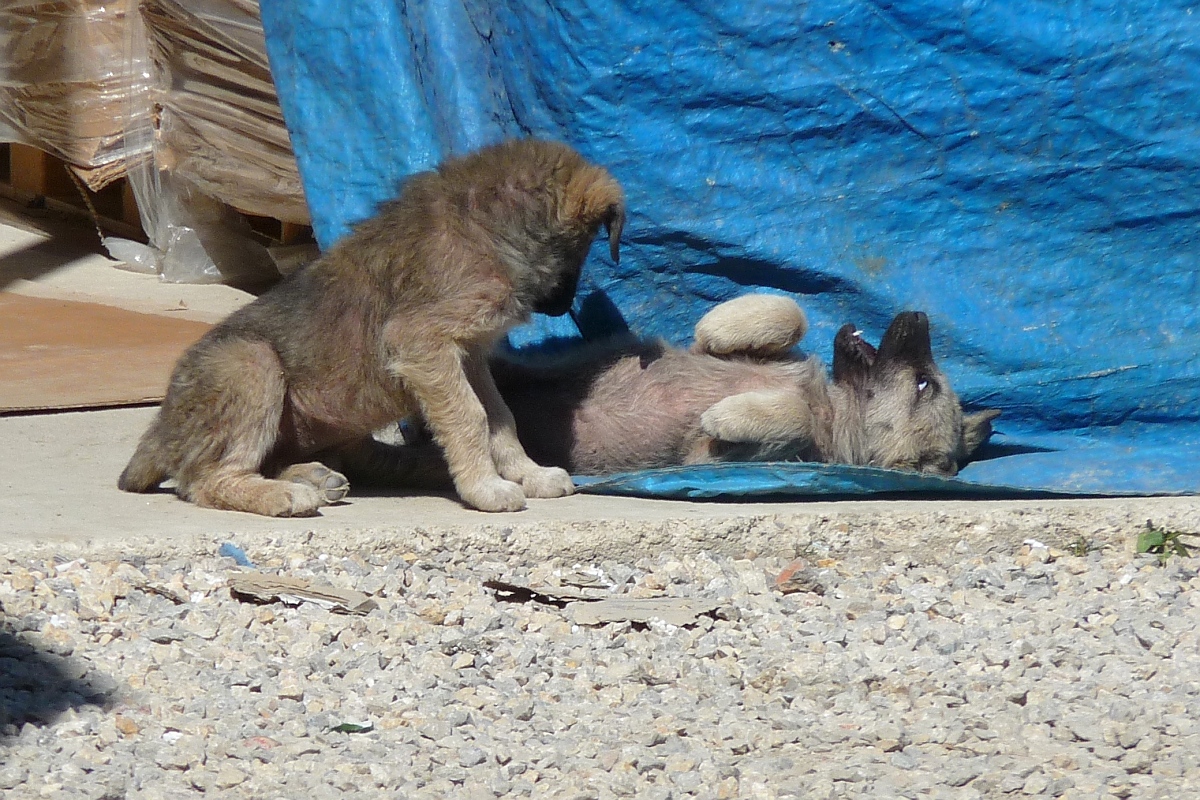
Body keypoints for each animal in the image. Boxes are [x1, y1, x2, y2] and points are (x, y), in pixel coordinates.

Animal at [119, 138, 628, 515]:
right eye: (584, 247)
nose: (561, 308)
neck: (487, 224)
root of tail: (161, 428)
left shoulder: (468, 355)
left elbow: (501, 417)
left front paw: (526, 473)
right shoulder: (422, 341)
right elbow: (471, 416)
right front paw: (487, 487)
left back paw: (318, 475)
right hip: (249, 362)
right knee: (205, 480)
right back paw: (284, 493)